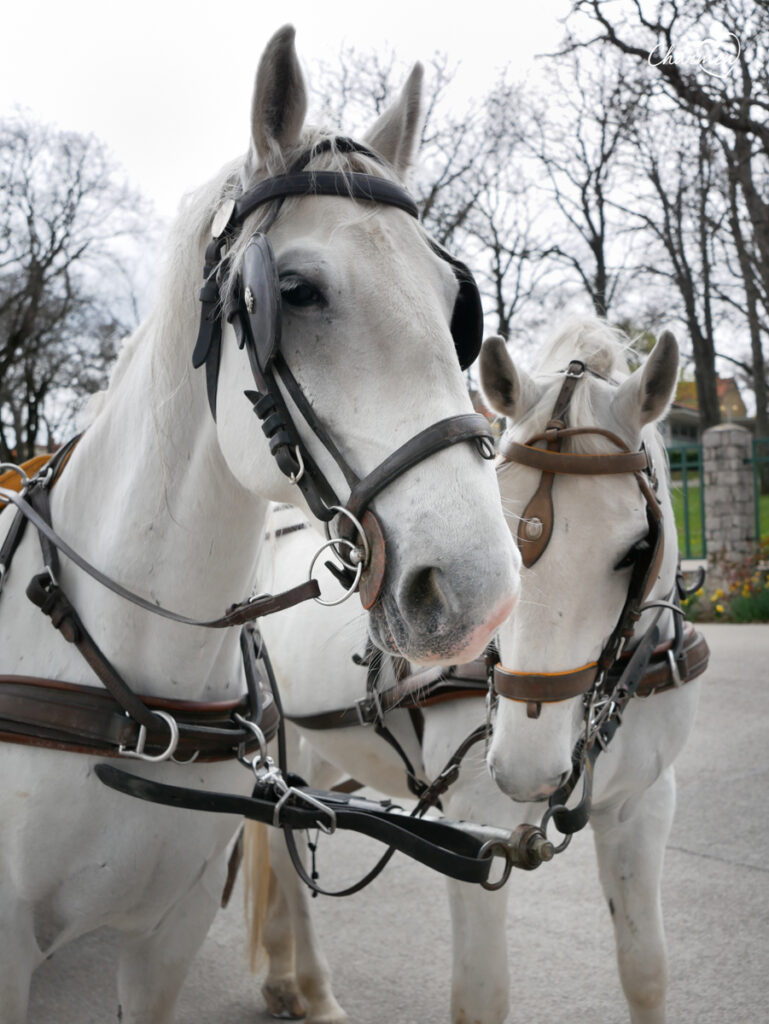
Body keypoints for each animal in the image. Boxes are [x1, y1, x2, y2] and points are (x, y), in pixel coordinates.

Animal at [244, 315, 704, 1019]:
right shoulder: (474, 829)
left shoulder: (643, 807)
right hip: (283, 736)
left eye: (634, 550)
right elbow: (481, 995)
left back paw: (282, 977)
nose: (527, 767)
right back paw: (314, 989)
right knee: (282, 836)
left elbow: (646, 970)